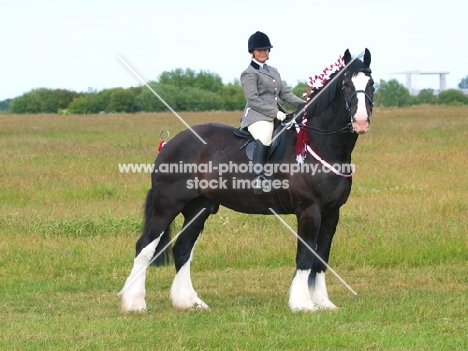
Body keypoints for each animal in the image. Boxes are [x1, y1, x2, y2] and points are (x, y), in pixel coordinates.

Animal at [119, 48, 372, 314]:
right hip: (166, 206)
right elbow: (305, 255)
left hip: (199, 208)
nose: (361, 121)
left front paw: (323, 302)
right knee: (144, 247)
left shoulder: (332, 212)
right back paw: (134, 303)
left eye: (371, 83)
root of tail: (169, 144)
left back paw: (189, 301)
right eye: (345, 84)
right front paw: (302, 303)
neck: (319, 143)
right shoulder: (309, 210)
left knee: (183, 249)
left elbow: (321, 257)